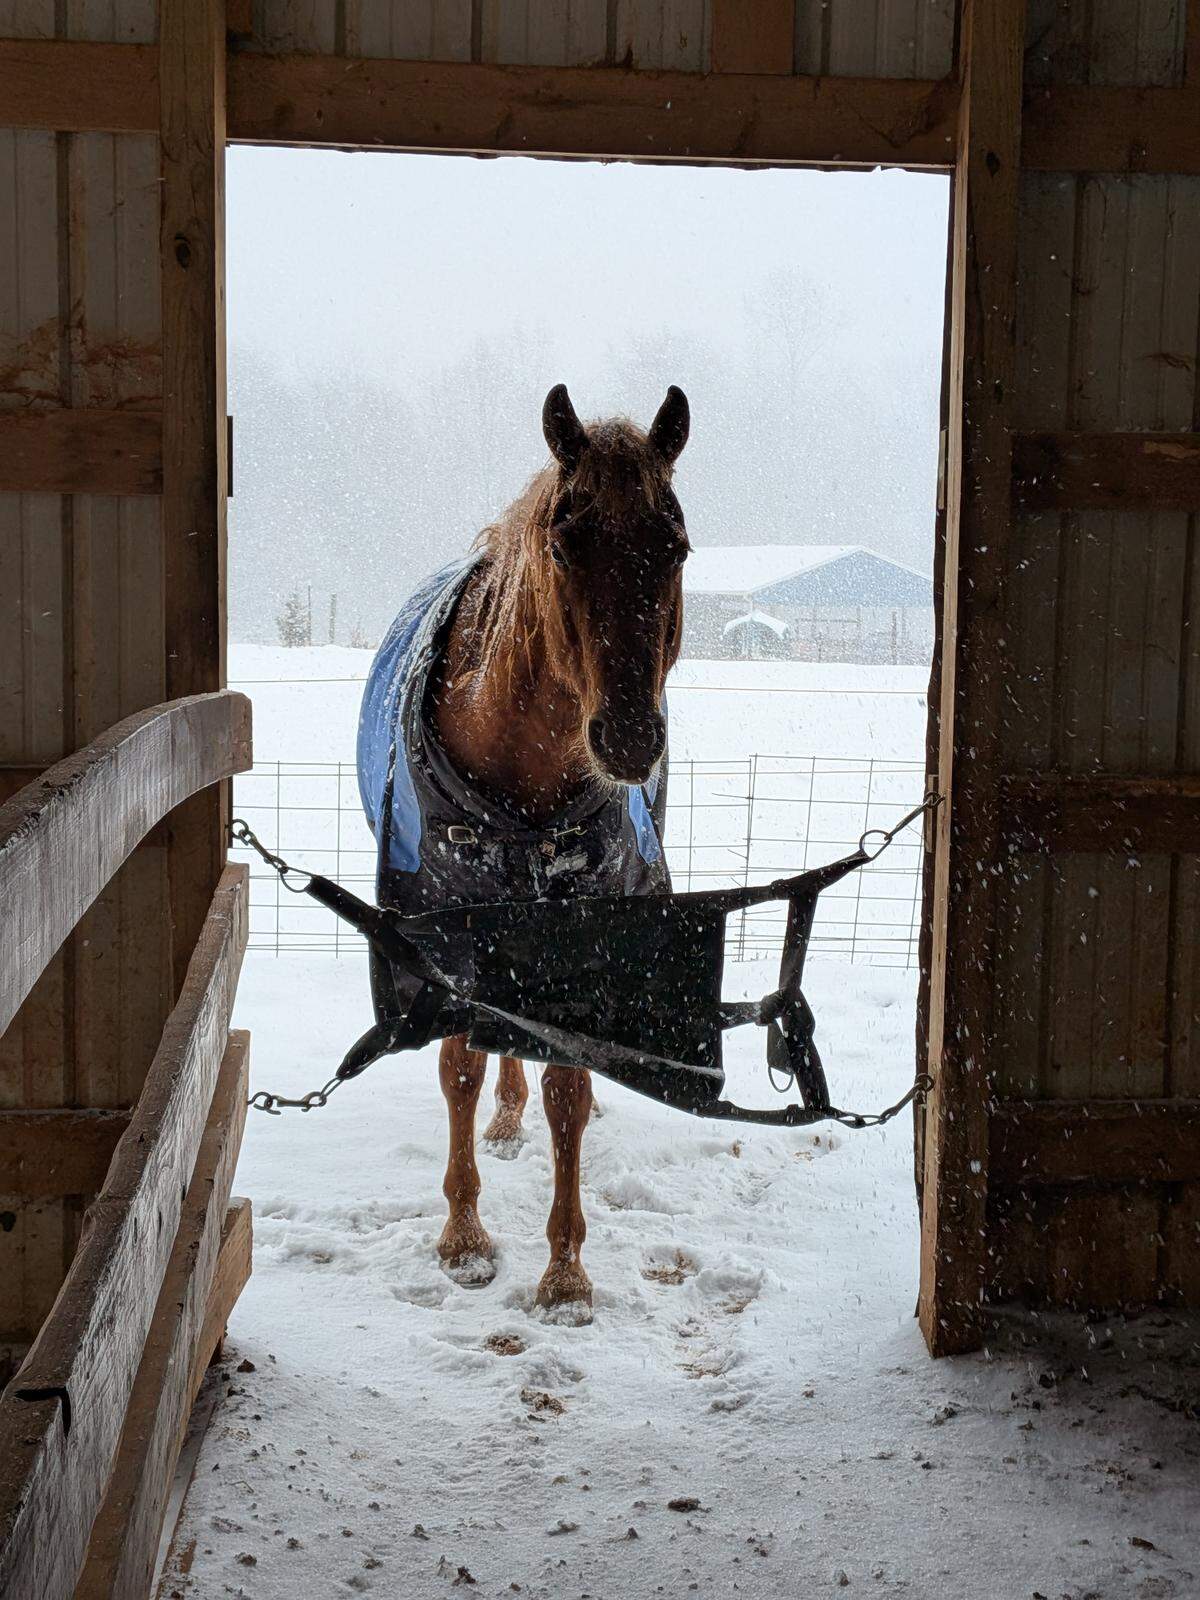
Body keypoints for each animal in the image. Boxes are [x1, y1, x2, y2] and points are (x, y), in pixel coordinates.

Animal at [357, 383, 690, 1319]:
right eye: (564, 541)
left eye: (676, 545)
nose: (629, 739)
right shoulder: (440, 920)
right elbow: (460, 1069)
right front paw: (464, 1238)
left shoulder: (585, 921)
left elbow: (566, 1090)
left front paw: (566, 1273)